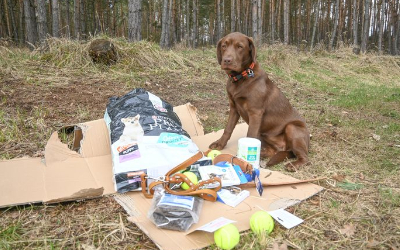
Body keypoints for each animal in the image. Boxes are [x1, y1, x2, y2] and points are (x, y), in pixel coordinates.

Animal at [209, 32, 310, 171]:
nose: (227, 60)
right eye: (224, 46)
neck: (241, 77)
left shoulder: (255, 113)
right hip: (264, 134)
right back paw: (262, 154)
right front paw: (220, 143)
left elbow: (250, 134)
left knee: (305, 158)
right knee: (273, 151)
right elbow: (228, 129)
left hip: (292, 128)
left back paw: (293, 165)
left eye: (240, 47)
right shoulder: (234, 108)